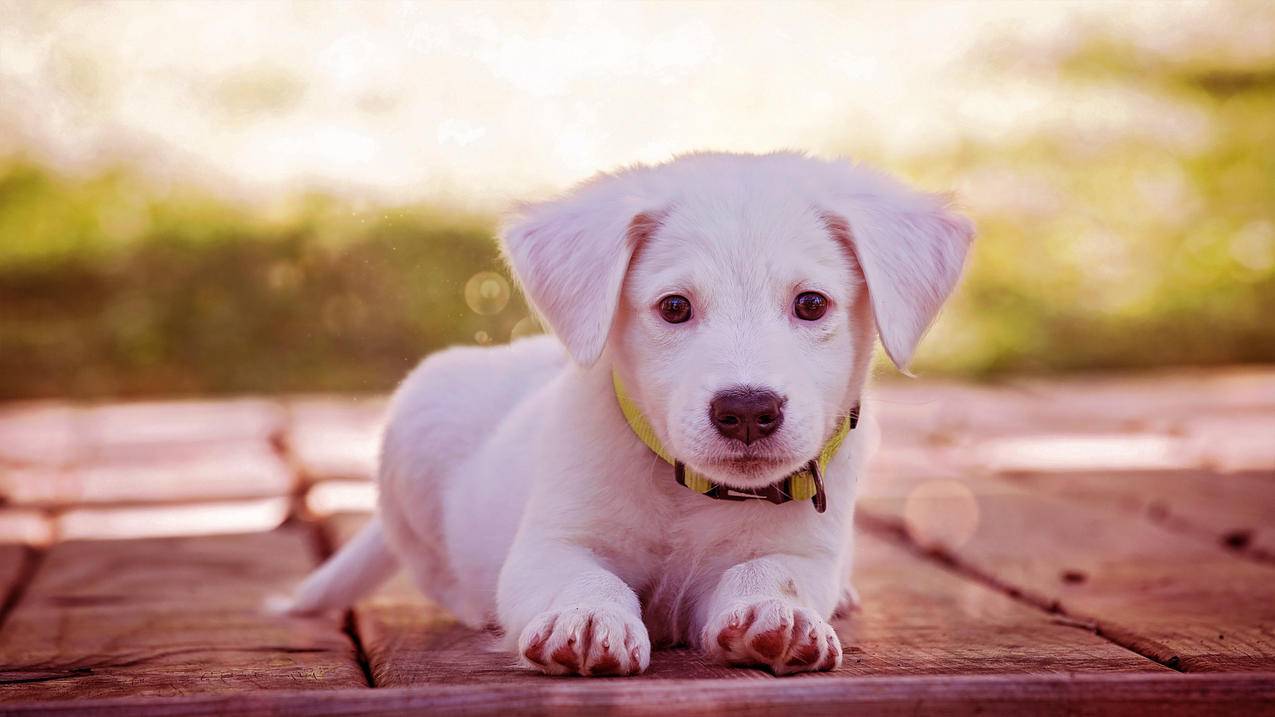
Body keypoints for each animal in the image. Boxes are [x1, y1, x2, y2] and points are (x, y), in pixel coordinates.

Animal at [289, 147, 969, 673]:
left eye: (811, 304)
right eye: (674, 308)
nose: (747, 410)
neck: (688, 493)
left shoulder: (806, 552)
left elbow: (773, 572)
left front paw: (777, 613)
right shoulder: (551, 544)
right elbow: (586, 576)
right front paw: (588, 618)